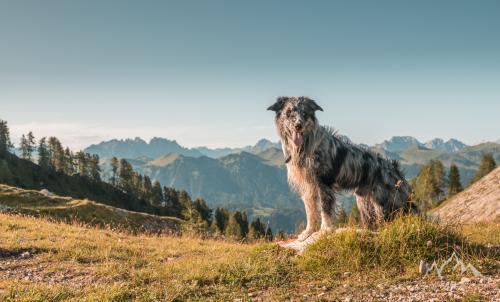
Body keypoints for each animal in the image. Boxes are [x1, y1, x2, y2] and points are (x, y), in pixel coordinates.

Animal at [268, 95, 412, 242]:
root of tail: (395, 169)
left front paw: (325, 230)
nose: (298, 125)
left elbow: (325, 209)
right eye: (289, 112)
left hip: (385, 203)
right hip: (364, 202)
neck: (305, 147)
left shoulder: (324, 184)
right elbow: (310, 211)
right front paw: (308, 231)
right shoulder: (307, 187)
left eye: (305, 113)